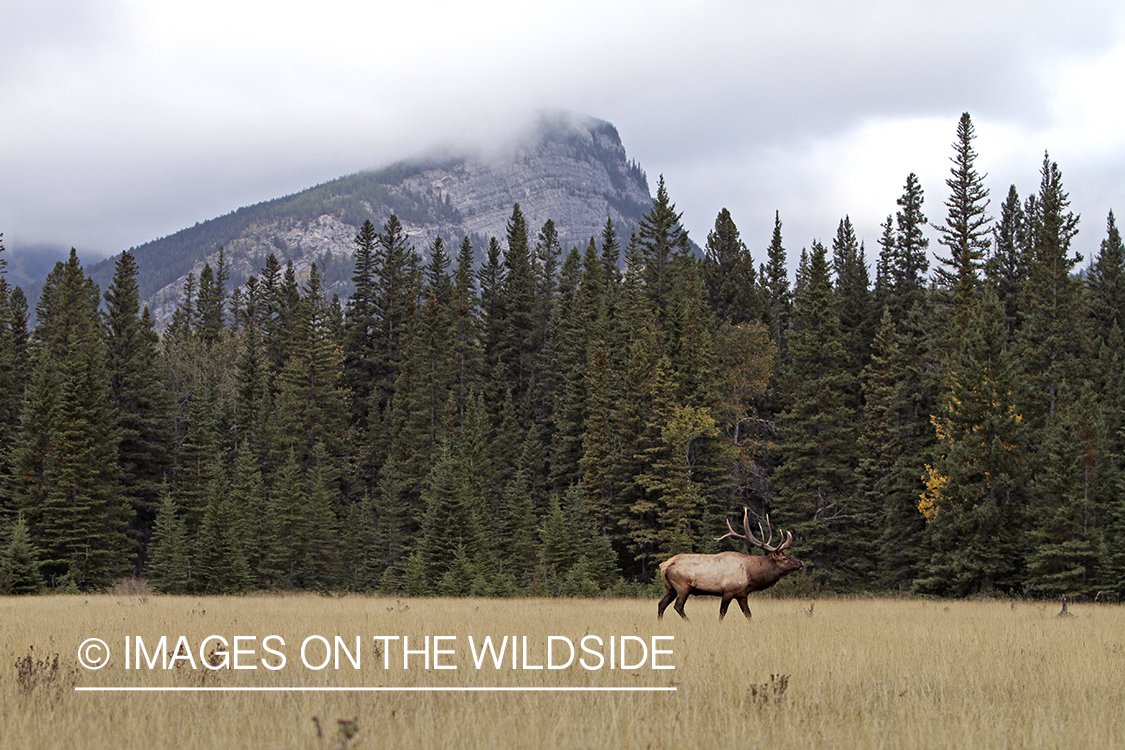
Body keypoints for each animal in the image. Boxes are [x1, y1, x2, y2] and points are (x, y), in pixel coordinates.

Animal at [657, 510, 805, 620]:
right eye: (785, 558)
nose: (800, 563)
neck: (750, 574)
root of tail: (664, 565)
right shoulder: (728, 591)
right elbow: (722, 613)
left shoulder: (742, 594)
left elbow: (748, 614)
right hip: (682, 586)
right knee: (678, 606)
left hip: (670, 588)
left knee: (661, 604)